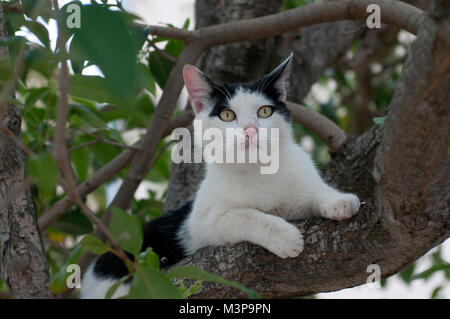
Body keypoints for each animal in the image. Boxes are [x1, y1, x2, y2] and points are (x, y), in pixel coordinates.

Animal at [81, 53, 360, 298]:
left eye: (265, 112)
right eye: (227, 115)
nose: (250, 129)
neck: (258, 171)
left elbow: (318, 193)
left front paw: (339, 201)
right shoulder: (204, 223)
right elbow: (246, 215)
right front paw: (284, 235)